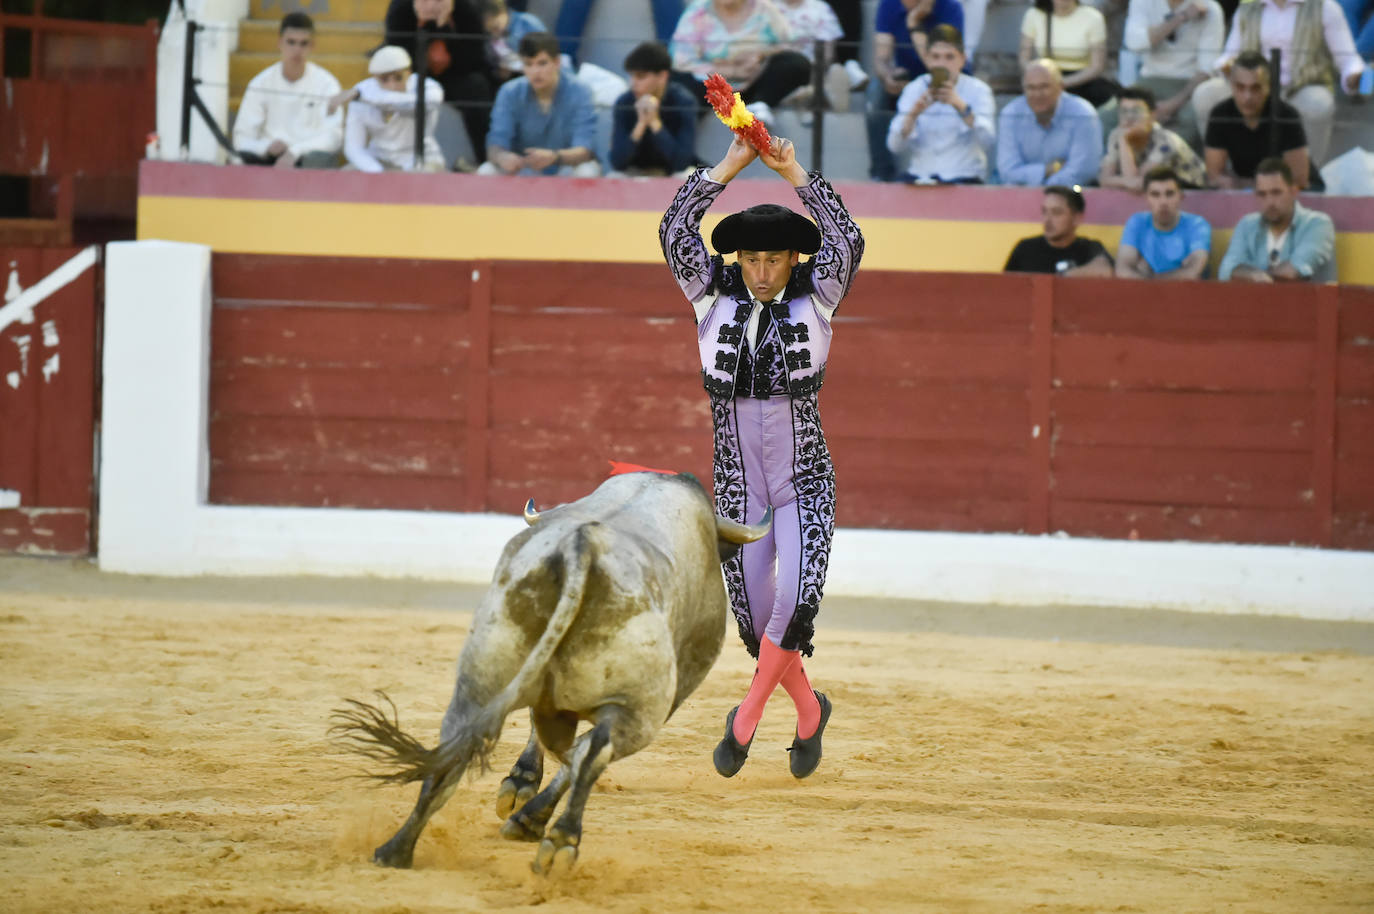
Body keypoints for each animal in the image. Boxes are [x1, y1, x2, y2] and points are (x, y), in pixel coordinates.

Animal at [327, 472, 769, 874]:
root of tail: (583, 547)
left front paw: (521, 784)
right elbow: (574, 754)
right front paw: (528, 811)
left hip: (480, 676)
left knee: (455, 746)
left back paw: (395, 850)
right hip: (641, 710)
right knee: (592, 752)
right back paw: (559, 840)